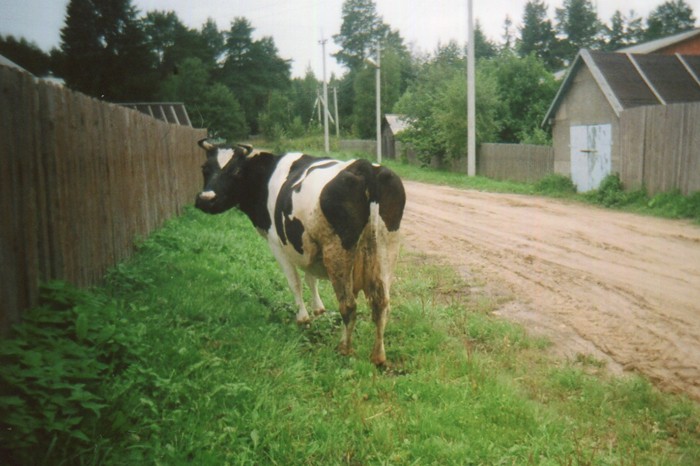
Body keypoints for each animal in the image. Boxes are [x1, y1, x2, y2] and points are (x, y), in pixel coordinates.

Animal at [194, 140, 408, 366]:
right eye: (205, 168)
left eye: (235, 171)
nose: (206, 199)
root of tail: (364, 166)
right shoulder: (306, 245)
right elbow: (310, 277)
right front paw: (318, 309)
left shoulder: (277, 242)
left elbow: (295, 282)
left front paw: (303, 317)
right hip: (387, 247)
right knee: (382, 303)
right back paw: (378, 356)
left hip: (337, 250)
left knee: (348, 305)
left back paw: (344, 348)